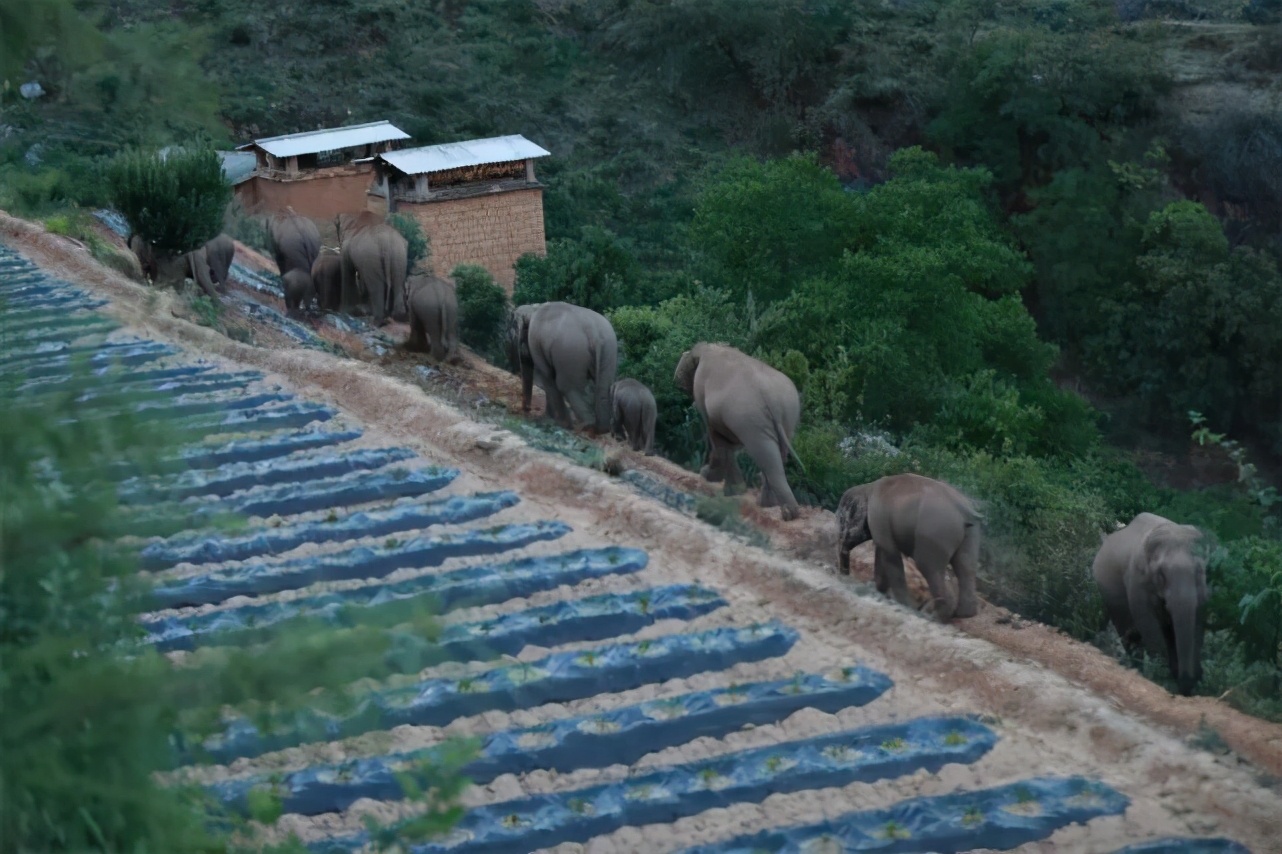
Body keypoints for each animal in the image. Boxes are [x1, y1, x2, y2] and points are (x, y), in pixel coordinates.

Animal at [507, 301, 617, 433]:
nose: (527, 409)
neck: (533, 308)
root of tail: (593, 332)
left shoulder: (535, 342)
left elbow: (547, 376)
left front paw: (552, 421)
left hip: (569, 351)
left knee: (566, 386)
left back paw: (585, 425)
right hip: (608, 349)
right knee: (603, 386)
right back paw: (601, 429)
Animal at [671, 341, 799, 518]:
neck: (709, 347)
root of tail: (774, 400)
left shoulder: (702, 390)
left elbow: (716, 434)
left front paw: (711, 478)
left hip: (750, 419)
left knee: (765, 455)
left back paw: (787, 513)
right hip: (788, 417)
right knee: (777, 456)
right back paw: (770, 505)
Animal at [835, 471, 984, 618]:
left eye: (843, 519)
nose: (844, 574)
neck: (867, 488)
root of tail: (963, 509)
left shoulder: (878, 516)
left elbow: (890, 553)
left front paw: (901, 602)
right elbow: (881, 551)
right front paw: (877, 589)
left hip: (935, 531)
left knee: (929, 567)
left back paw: (936, 615)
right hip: (970, 533)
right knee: (966, 566)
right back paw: (964, 614)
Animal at [1087, 507, 1205, 697]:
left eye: (1199, 571)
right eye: (1161, 573)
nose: (1186, 688)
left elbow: (1198, 622)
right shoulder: (1137, 579)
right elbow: (1147, 621)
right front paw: (1161, 678)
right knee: (1128, 630)